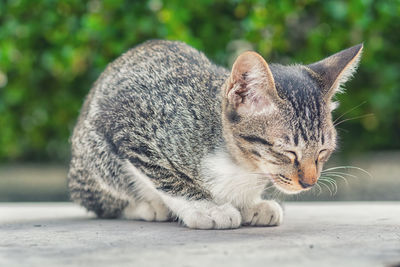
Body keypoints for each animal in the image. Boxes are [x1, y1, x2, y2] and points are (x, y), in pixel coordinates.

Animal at [68, 39, 362, 230]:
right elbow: (164, 175)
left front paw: (251, 204)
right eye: (286, 152)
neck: (241, 165)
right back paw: (147, 207)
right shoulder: (130, 124)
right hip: (92, 152)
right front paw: (206, 208)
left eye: (323, 151)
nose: (309, 183)